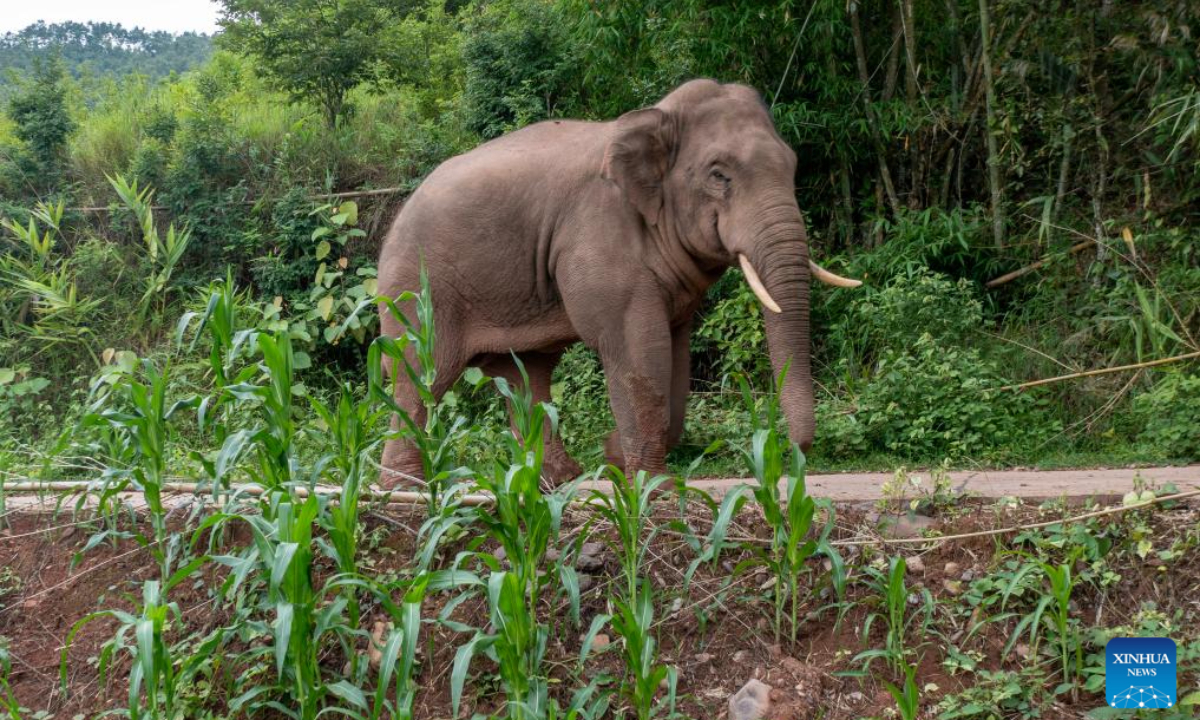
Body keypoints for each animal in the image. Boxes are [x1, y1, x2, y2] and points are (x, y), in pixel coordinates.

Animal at [377, 78, 860, 487]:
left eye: (793, 167)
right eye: (719, 175)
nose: (787, 453)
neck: (657, 118)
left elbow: (672, 349)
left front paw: (614, 459)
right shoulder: (597, 235)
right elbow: (635, 344)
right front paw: (650, 485)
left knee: (527, 374)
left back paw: (558, 480)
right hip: (416, 288)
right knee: (422, 371)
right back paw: (408, 487)